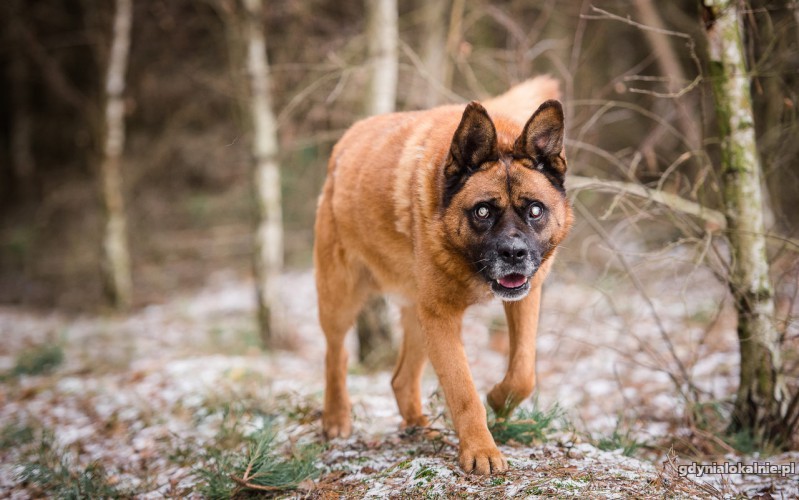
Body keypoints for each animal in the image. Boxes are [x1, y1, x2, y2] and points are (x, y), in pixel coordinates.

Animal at [314, 76, 576, 474]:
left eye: (534, 210)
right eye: (482, 211)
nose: (514, 254)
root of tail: (343, 145)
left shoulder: (524, 297)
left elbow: (523, 372)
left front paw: (499, 399)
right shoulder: (442, 316)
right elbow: (463, 390)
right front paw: (481, 450)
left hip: (418, 317)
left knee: (401, 379)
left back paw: (419, 428)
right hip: (342, 297)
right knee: (336, 354)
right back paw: (336, 418)